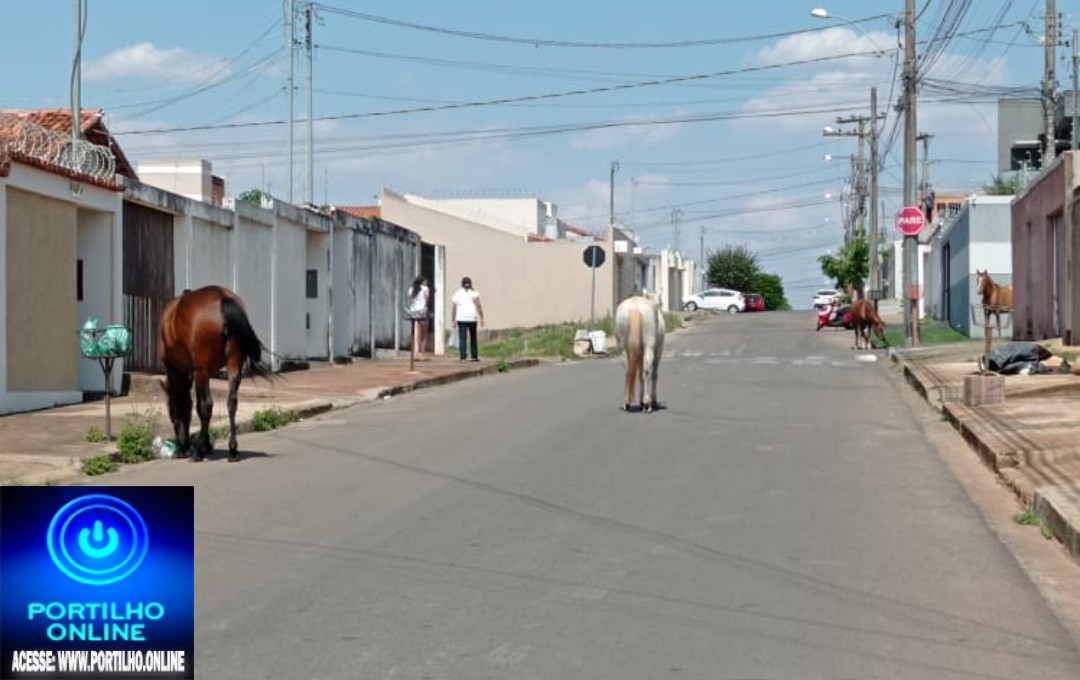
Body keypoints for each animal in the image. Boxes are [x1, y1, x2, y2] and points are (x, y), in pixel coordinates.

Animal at [157, 287, 274, 464]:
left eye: (171, 413)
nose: (182, 445)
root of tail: (222, 298)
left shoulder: (180, 370)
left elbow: (198, 406)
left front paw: (200, 446)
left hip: (201, 371)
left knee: (206, 406)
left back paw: (199, 451)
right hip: (234, 366)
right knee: (232, 402)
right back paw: (232, 449)